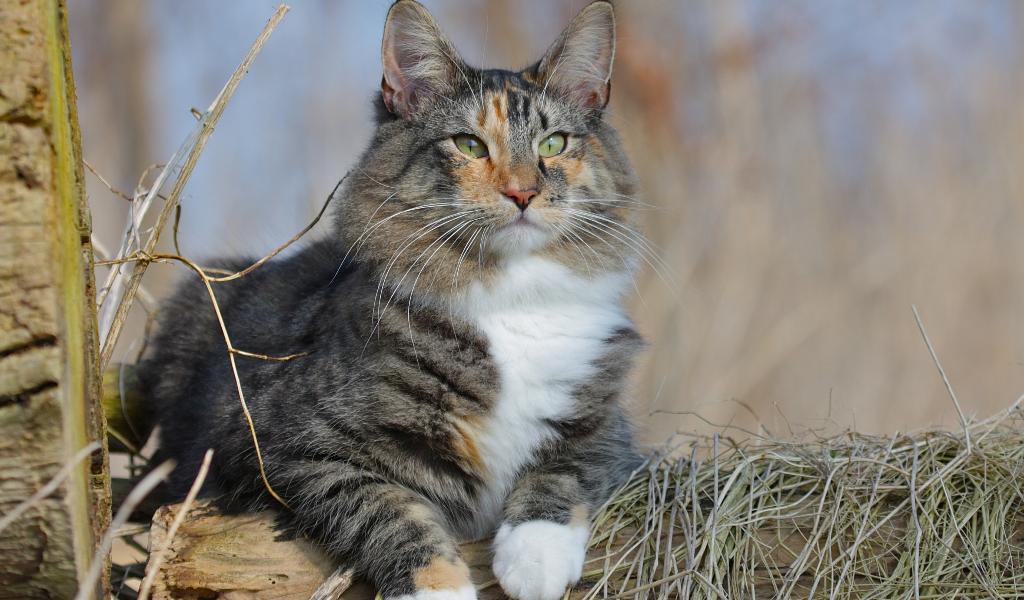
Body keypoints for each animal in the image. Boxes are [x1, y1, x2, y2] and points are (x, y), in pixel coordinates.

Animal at [142, 1, 647, 597]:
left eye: (554, 144)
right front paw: (442, 586)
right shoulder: (283, 447)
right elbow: (389, 508)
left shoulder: (612, 430)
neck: (512, 299)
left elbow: (567, 468)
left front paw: (535, 559)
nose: (523, 192)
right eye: (469, 145)